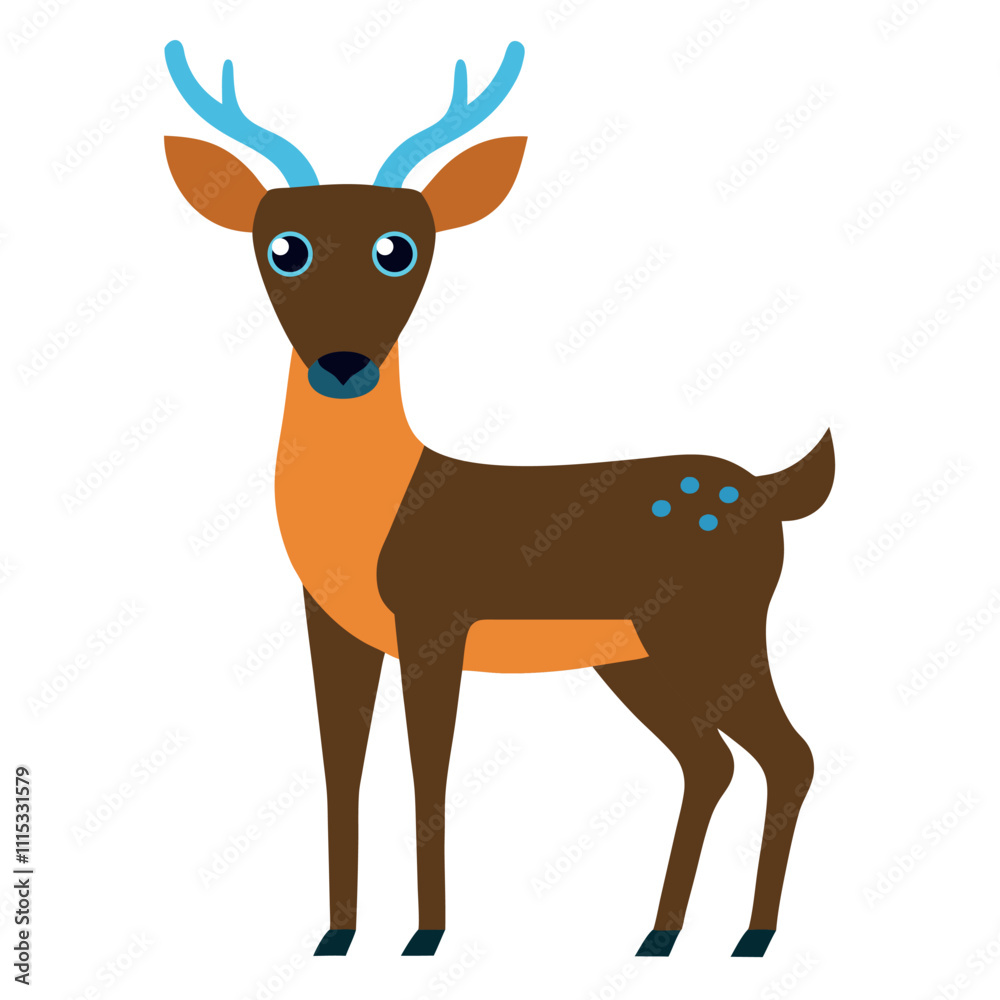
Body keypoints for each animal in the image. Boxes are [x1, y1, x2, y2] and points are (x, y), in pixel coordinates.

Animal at [162, 38, 834, 959]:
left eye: (400, 248)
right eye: (284, 246)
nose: (343, 364)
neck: (370, 512)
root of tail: (773, 490)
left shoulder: (436, 616)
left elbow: (428, 773)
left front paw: (425, 936)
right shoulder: (332, 624)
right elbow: (341, 767)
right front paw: (337, 936)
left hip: (713, 628)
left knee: (787, 755)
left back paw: (753, 938)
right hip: (636, 654)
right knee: (712, 761)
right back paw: (661, 935)